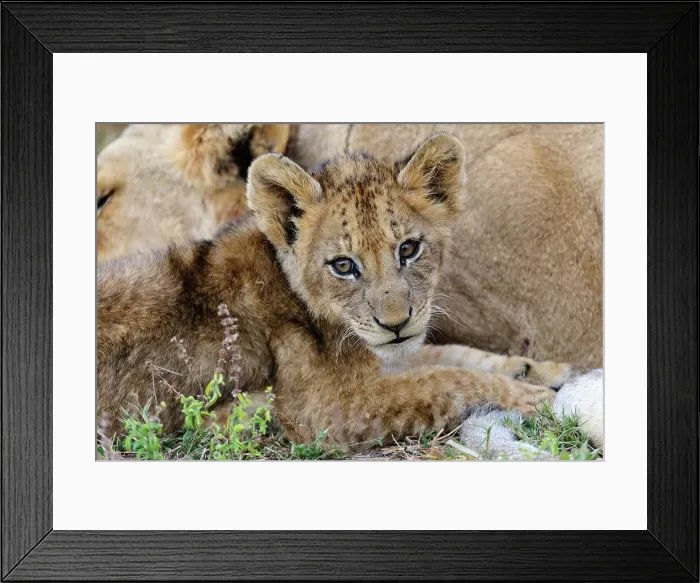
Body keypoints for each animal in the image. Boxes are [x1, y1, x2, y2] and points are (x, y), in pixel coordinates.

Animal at [98, 134, 579, 447]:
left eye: (409, 248)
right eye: (344, 266)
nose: (396, 324)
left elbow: (445, 355)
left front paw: (541, 370)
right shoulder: (325, 409)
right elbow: (441, 379)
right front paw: (540, 400)